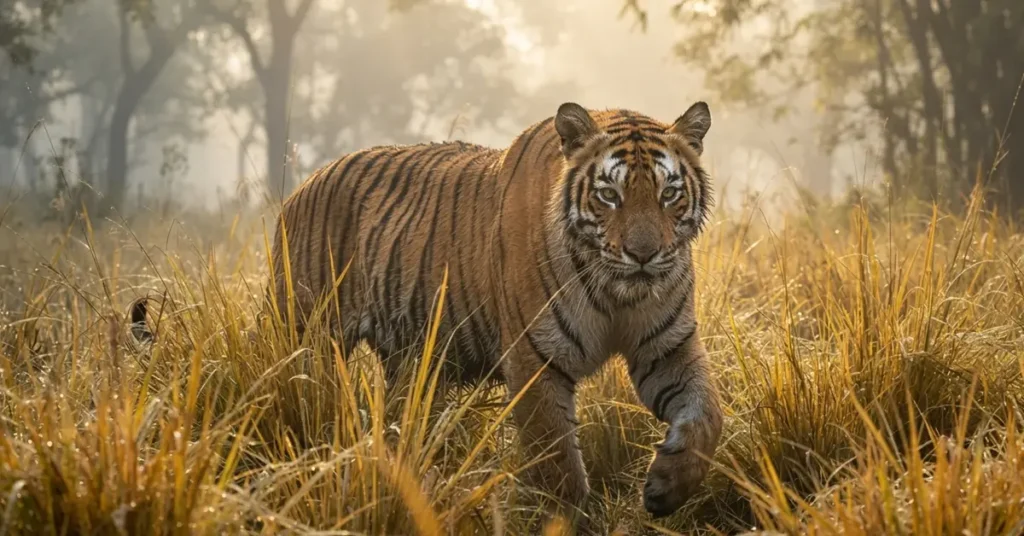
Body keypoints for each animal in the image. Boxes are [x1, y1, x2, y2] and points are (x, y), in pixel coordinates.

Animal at [163, 102, 724, 522]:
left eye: (669, 193)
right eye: (609, 194)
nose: (644, 254)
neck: (618, 294)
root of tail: (301, 184)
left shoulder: (669, 348)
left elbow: (706, 417)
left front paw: (668, 486)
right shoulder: (535, 359)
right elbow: (557, 462)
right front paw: (569, 519)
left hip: (411, 363)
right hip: (302, 332)